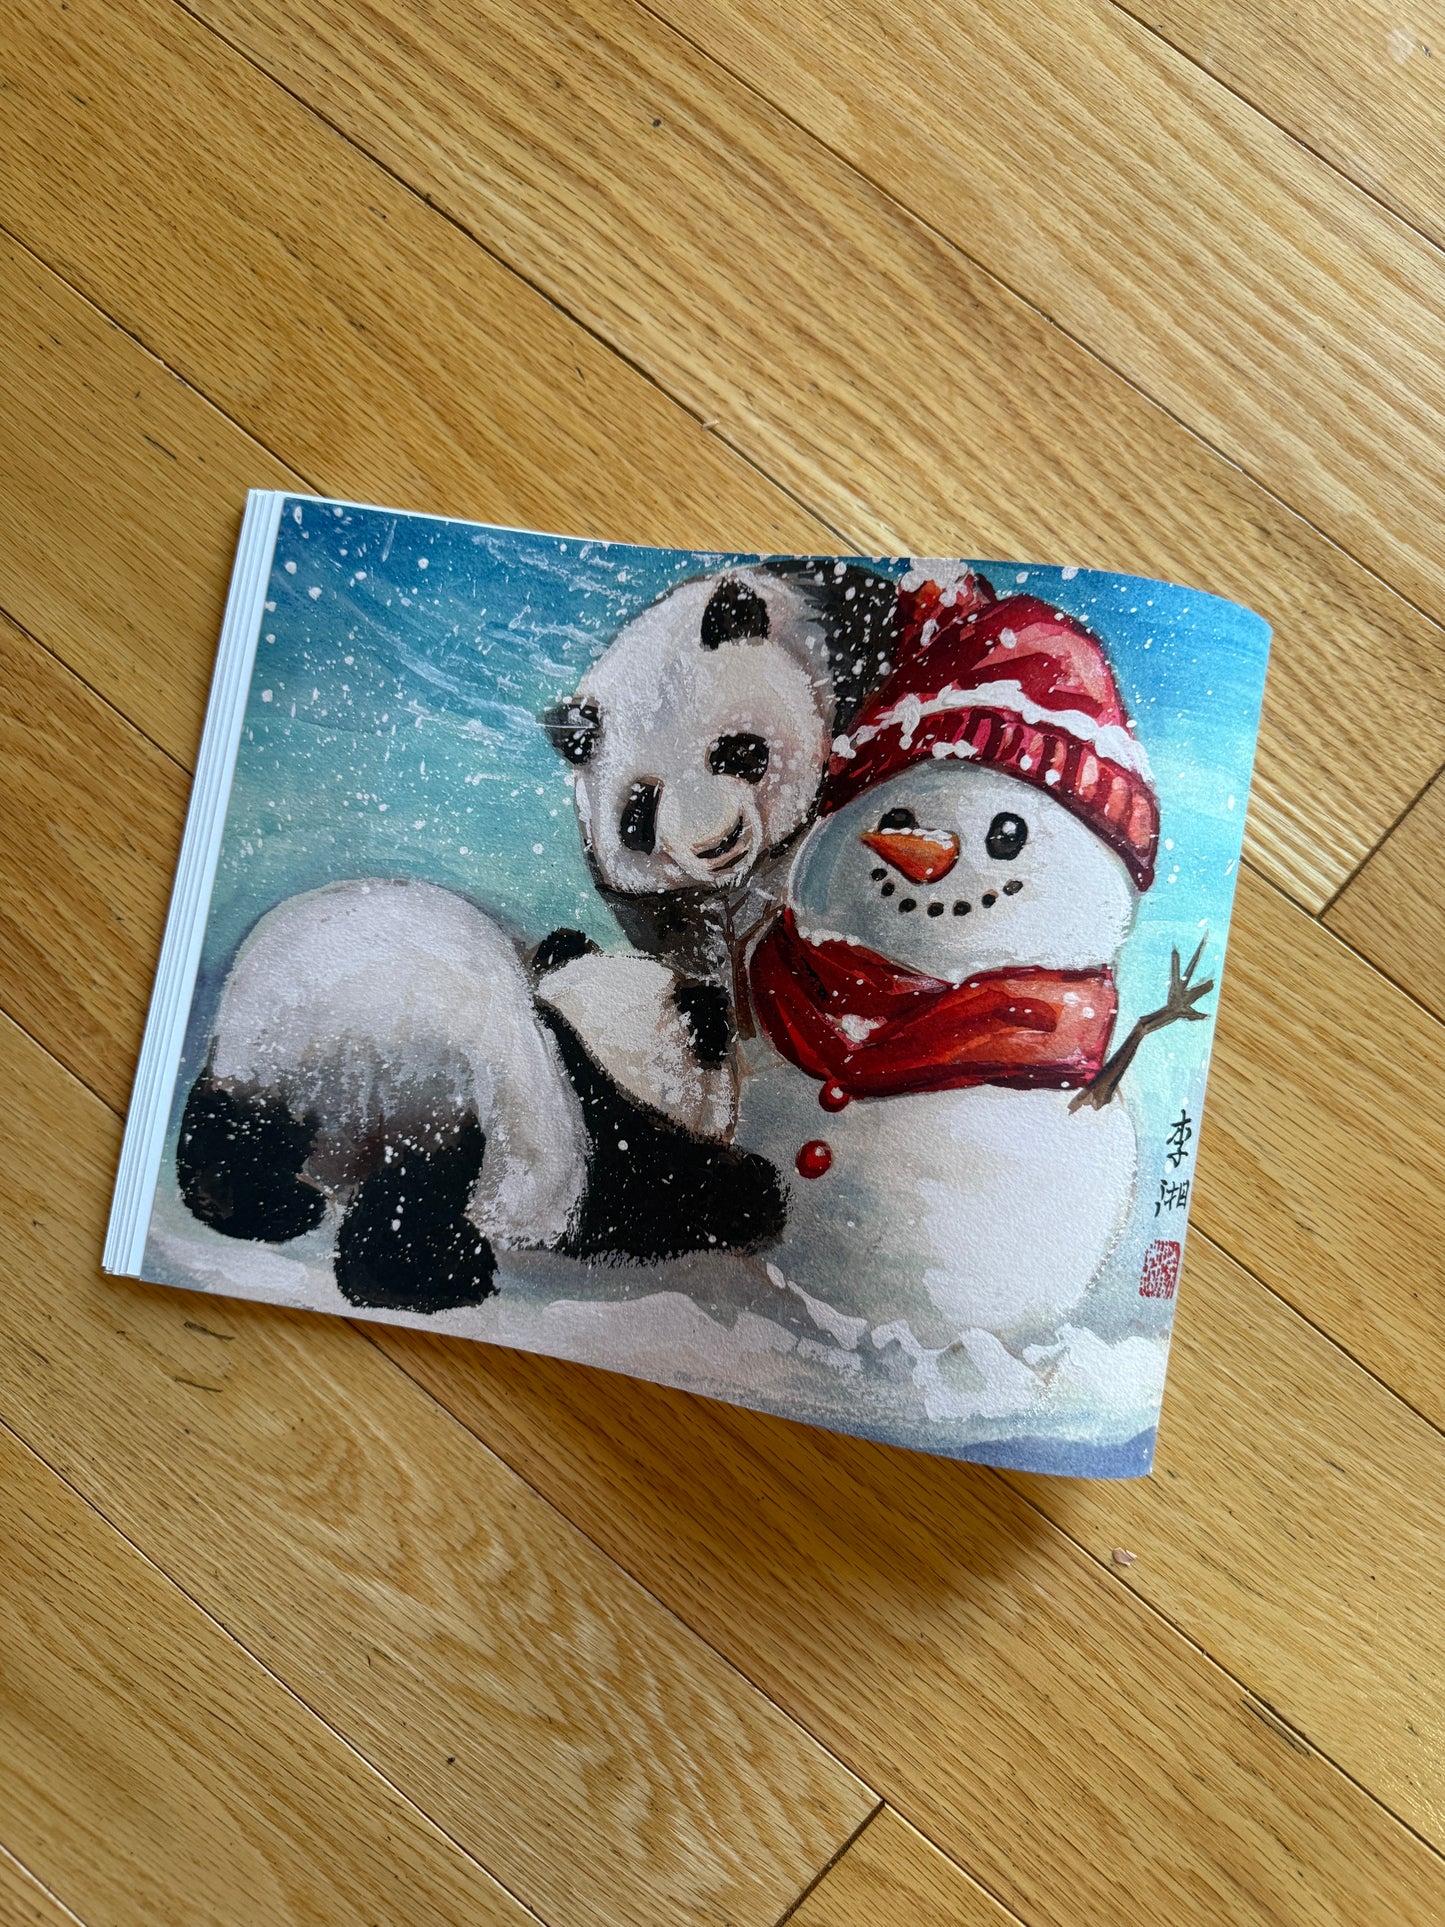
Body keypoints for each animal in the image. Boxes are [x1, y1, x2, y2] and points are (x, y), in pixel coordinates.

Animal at [176, 878, 785, 1314]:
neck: (581, 1027)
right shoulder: (596, 1134)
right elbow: (659, 1194)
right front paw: (757, 1192)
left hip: (260, 1064)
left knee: (231, 1130)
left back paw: (264, 1203)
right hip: (443, 1085)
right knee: (416, 1196)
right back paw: (439, 1276)